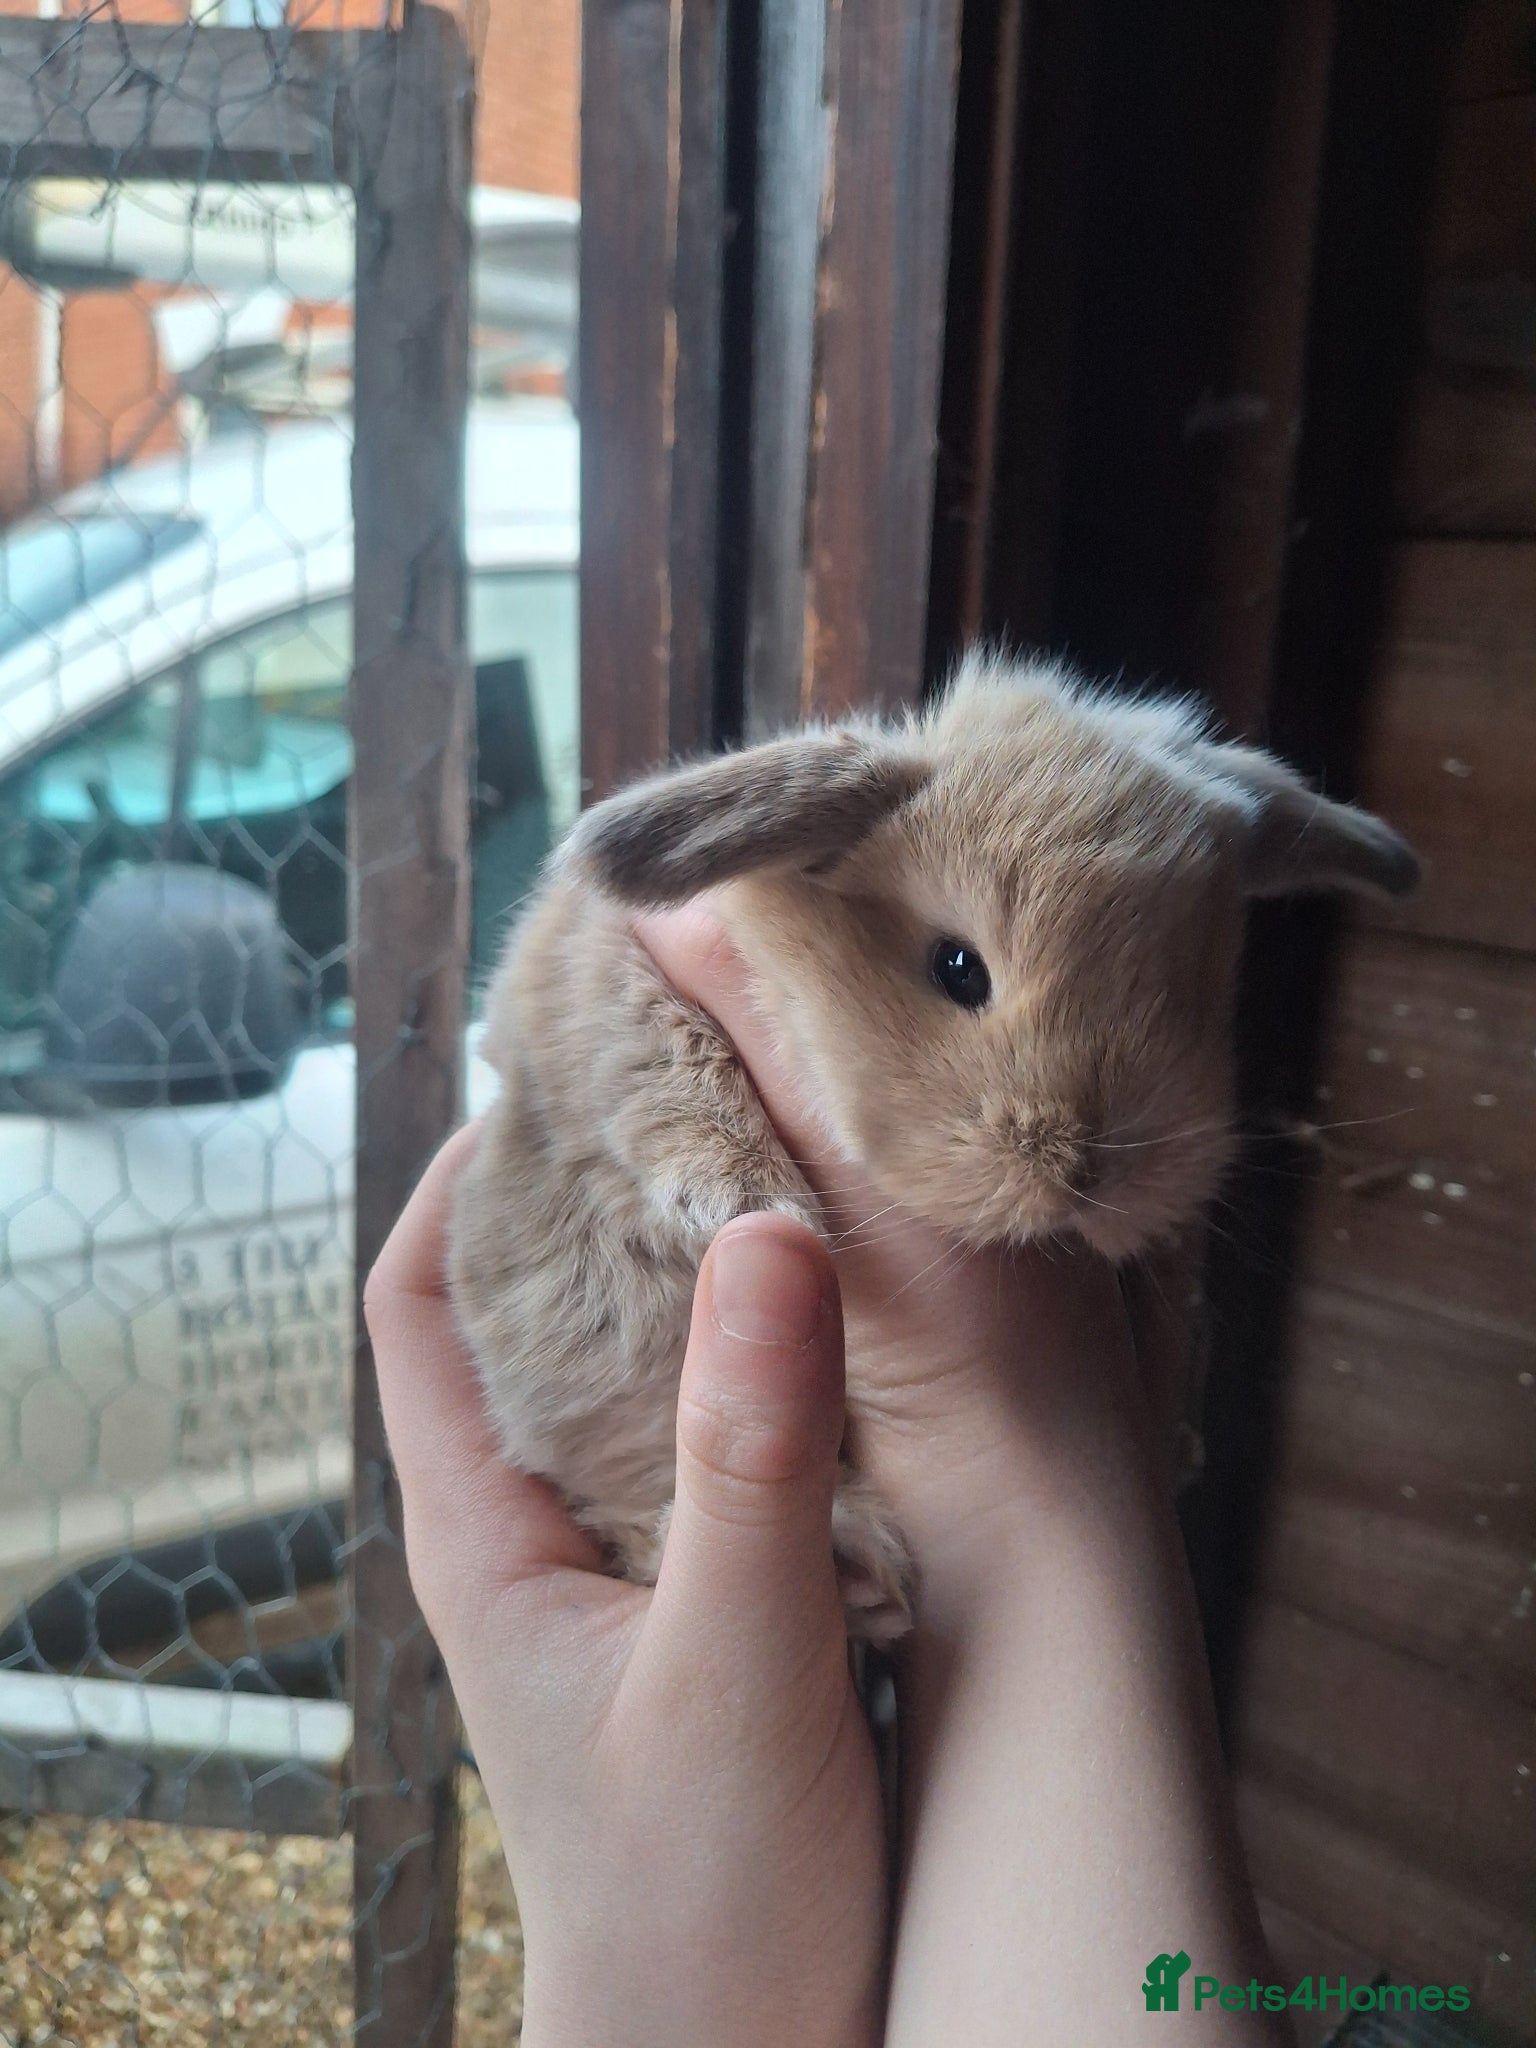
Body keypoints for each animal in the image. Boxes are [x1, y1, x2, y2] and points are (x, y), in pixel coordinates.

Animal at [447, 652, 1417, 1643]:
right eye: (958, 968)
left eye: (1195, 997)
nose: (1082, 1174)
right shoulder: (602, 982)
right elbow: (657, 1057)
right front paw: (753, 1200)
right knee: (631, 1503)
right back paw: (850, 1557)